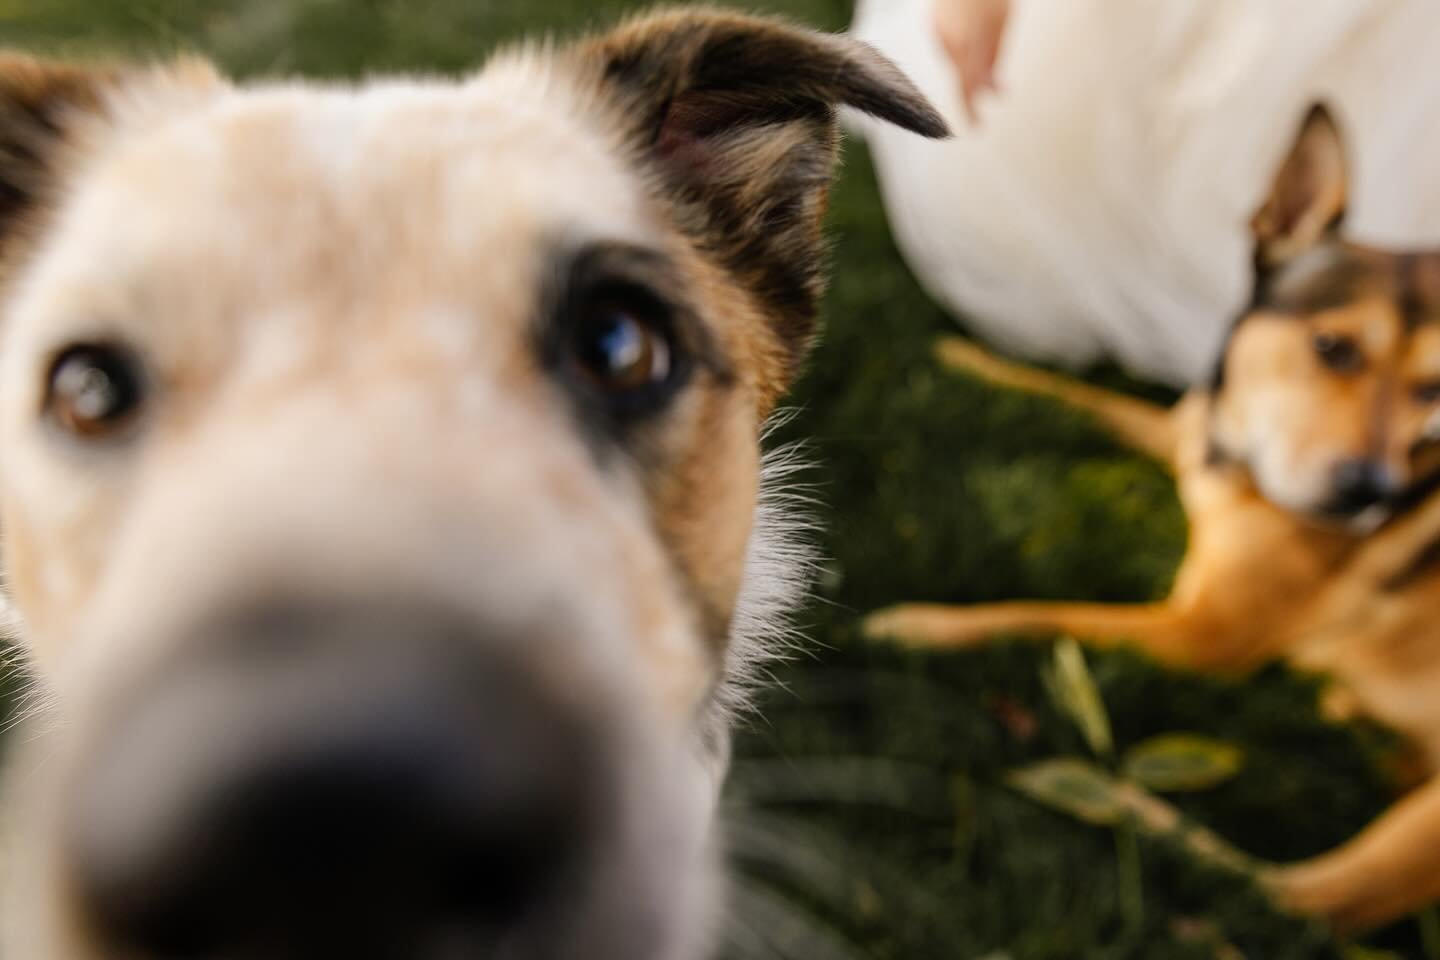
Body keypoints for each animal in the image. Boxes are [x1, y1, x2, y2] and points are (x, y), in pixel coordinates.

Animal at [869, 107, 1440, 938]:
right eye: (1334, 348)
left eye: (1433, 389)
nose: (1369, 494)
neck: (1236, 463)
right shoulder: (1178, 431)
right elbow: (1079, 397)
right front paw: (961, 359)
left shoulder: (1200, 637)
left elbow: (1034, 613)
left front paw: (920, 627)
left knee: (1291, 899)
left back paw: (1112, 796)